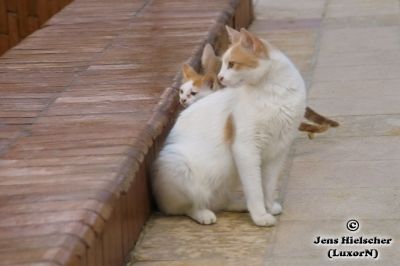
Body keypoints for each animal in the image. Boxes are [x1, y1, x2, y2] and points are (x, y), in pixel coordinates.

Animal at [152, 26, 306, 227]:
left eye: (231, 64)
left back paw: (238, 204)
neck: (274, 92)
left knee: (219, 201)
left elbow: (268, 185)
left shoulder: (278, 150)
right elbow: (255, 189)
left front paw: (268, 206)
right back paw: (203, 214)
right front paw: (260, 215)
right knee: (186, 206)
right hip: (178, 164)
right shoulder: (246, 149)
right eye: (224, 64)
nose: (220, 77)